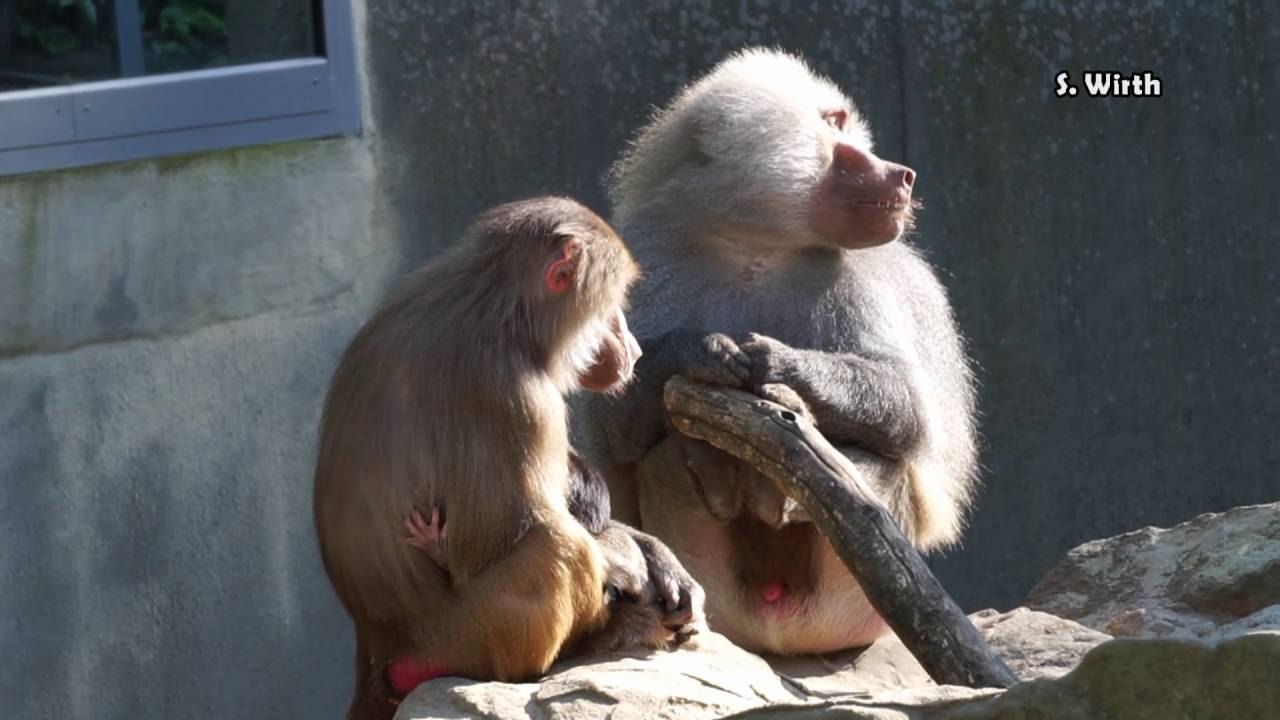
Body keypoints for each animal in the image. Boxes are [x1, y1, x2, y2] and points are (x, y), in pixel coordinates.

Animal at [313, 196, 703, 720]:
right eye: (612, 306)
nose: (635, 348)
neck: (495, 307)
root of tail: (375, 640)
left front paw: (657, 557)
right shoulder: (516, 397)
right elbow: (488, 545)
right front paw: (629, 561)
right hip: (463, 640)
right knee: (556, 547)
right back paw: (601, 635)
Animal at [573, 48, 979, 656]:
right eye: (833, 128)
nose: (902, 174)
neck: (757, 245)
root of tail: (781, 641)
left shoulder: (859, 275)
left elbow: (906, 406)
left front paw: (774, 363)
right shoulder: (649, 256)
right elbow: (611, 428)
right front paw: (699, 353)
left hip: (856, 608)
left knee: (864, 460)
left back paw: (777, 489)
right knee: (668, 453)